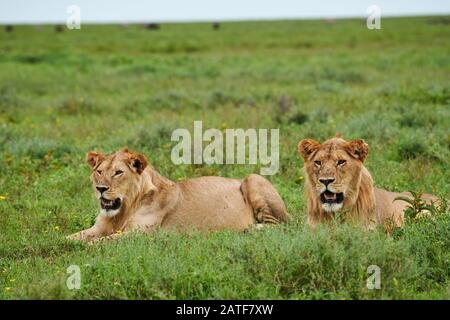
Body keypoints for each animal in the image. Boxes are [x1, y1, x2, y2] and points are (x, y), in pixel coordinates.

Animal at [68, 148, 290, 242]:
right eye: (99, 171)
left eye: (118, 172)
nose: (100, 188)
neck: (123, 210)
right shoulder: (99, 227)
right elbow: (72, 237)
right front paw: (64, 242)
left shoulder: (140, 234)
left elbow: (101, 242)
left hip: (253, 178)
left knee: (284, 226)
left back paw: (253, 228)